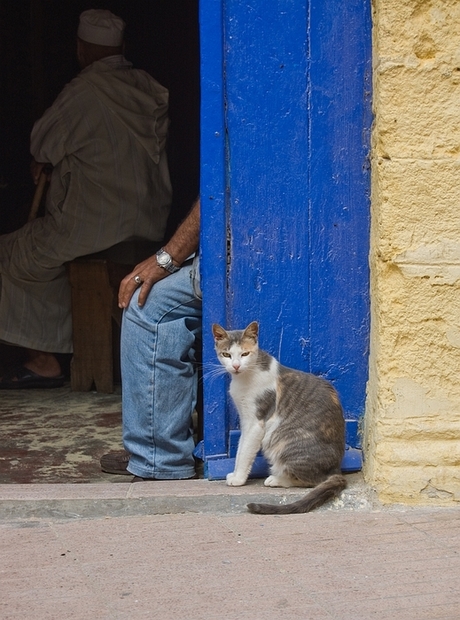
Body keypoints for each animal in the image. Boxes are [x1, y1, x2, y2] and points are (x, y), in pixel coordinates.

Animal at [211, 322, 344, 516]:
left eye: (245, 354)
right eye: (226, 354)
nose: (235, 366)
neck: (244, 378)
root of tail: (337, 468)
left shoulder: (256, 422)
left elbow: (245, 453)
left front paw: (239, 479)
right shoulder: (245, 419)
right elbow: (240, 449)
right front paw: (235, 474)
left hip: (282, 441)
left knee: (314, 480)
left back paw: (276, 479)